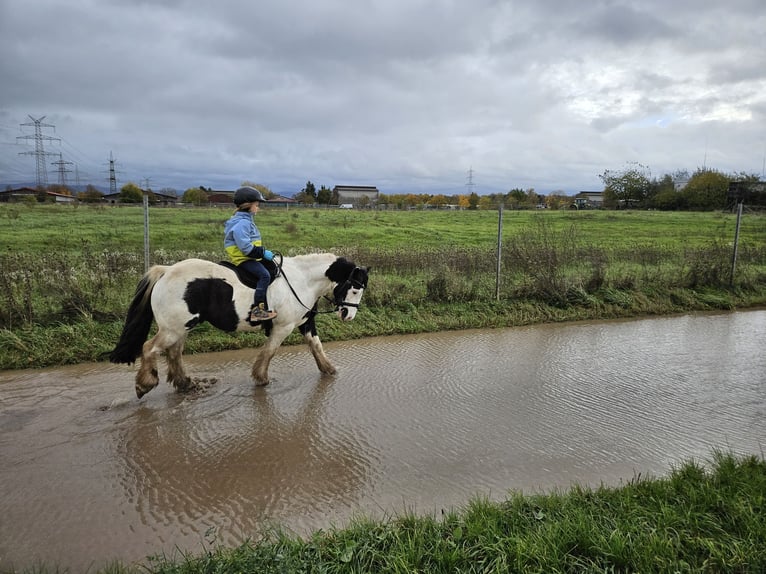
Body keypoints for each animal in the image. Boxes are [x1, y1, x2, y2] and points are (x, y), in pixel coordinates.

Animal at [108, 253, 369, 399]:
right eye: (355, 289)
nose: (348, 315)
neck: (302, 281)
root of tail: (166, 271)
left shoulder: (305, 323)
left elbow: (316, 347)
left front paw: (330, 371)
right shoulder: (283, 327)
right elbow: (269, 352)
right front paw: (261, 379)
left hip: (182, 327)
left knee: (174, 353)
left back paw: (185, 384)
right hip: (173, 328)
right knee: (149, 348)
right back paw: (145, 384)